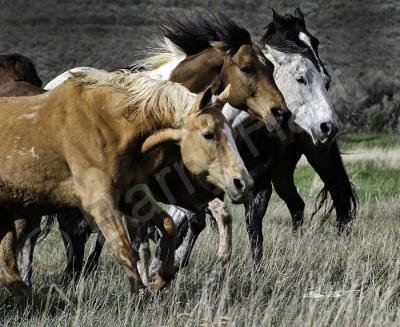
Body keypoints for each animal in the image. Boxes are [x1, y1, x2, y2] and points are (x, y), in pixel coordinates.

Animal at [0, 70, 253, 298]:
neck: (108, 125)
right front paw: (139, 297)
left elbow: (167, 226)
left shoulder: (131, 197)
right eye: (209, 134)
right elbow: (126, 251)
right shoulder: (101, 203)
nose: (243, 183)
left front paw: (160, 279)